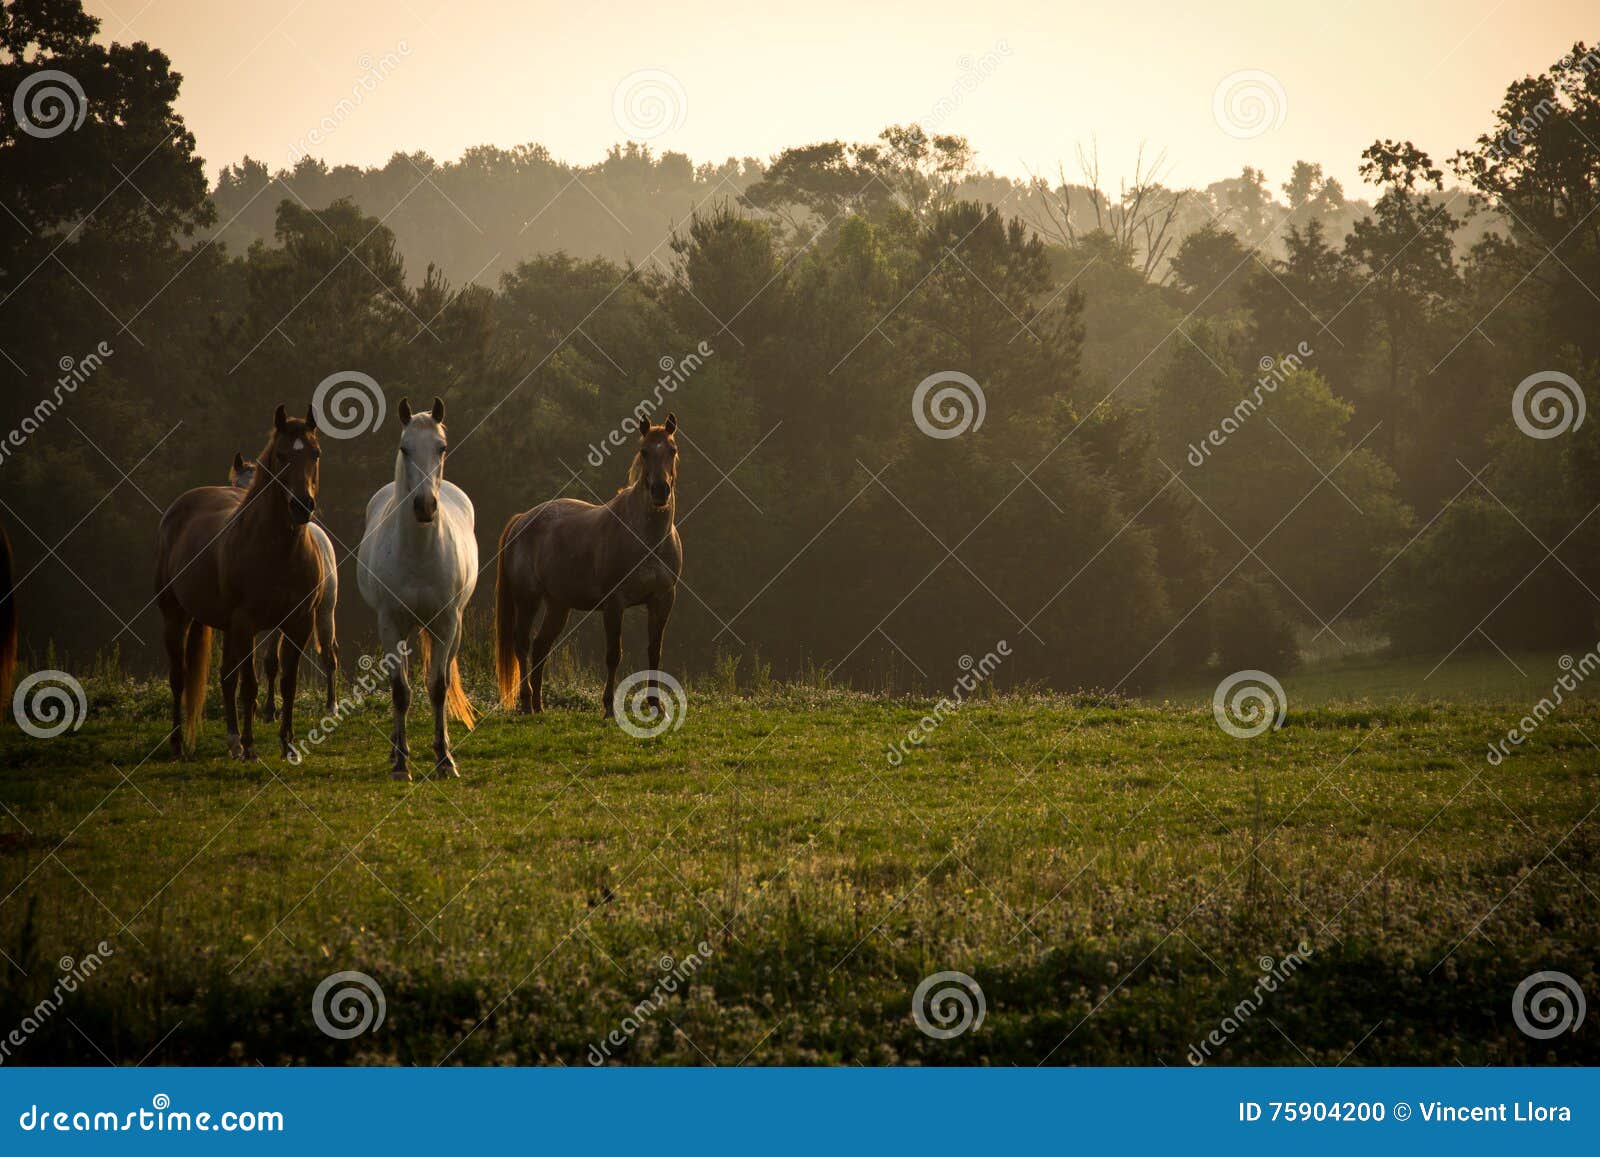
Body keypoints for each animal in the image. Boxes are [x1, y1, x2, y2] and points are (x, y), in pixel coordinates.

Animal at [154, 404, 325, 760]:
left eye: (315, 453)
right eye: (281, 454)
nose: (302, 506)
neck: (279, 551)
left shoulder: (299, 622)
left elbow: (287, 684)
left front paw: (288, 743)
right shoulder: (247, 623)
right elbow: (250, 686)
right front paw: (251, 747)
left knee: (225, 677)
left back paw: (232, 740)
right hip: (176, 616)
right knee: (179, 678)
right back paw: (178, 744)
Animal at [230, 453, 339, 719]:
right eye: (235, 485)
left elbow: (271, 661)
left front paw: (269, 710)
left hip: (324, 612)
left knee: (328, 654)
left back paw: (331, 706)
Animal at [356, 397, 477, 781]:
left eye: (441, 447)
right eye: (404, 448)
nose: (425, 506)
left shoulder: (446, 623)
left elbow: (437, 688)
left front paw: (445, 760)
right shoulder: (391, 624)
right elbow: (400, 692)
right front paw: (400, 763)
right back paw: (395, 748)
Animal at [495, 411, 682, 719]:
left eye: (672, 450)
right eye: (644, 451)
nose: (659, 491)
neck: (646, 539)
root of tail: (522, 519)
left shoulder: (662, 600)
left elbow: (655, 651)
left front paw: (656, 704)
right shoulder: (614, 604)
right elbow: (613, 654)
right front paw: (608, 708)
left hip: (558, 605)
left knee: (541, 646)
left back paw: (539, 706)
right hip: (527, 599)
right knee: (522, 643)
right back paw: (526, 702)